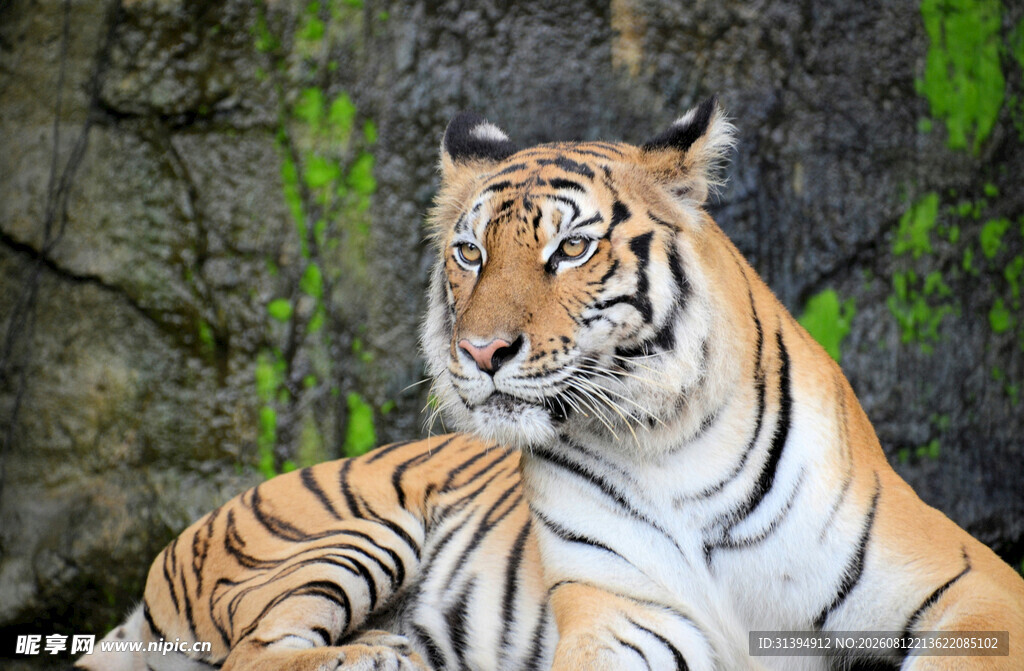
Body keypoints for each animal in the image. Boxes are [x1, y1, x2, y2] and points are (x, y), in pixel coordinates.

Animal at [75, 98, 1024, 671]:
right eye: (469, 252)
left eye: (570, 248)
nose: (481, 349)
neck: (667, 439)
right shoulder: (625, 616)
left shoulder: (974, 586)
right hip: (344, 534)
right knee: (255, 651)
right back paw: (382, 654)